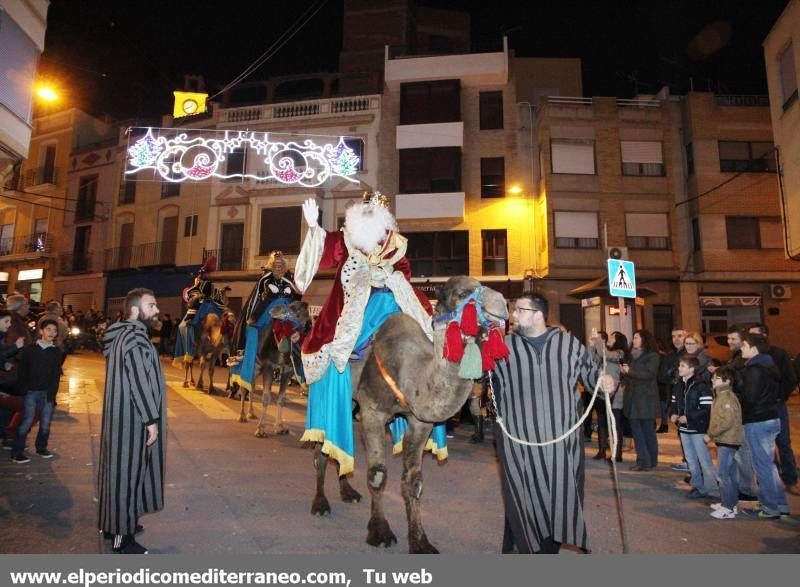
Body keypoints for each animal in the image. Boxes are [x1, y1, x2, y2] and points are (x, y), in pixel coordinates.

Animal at [236, 298, 308, 436]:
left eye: (308, 321)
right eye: (291, 318)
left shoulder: (287, 370)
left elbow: (281, 399)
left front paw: (280, 427)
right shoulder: (268, 365)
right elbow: (266, 398)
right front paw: (260, 429)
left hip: (258, 367)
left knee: (252, 386)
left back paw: (251, 413)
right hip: (250, 364)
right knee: (244, 385)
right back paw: (242, 416)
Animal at [310, 278, 510, 552]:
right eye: (462, 293)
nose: (502, 305)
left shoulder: (420, 422)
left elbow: (414, 481)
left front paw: (419, 541)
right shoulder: (373, 410)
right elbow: (378, 475)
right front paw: (380, 532)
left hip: (349, 402)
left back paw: (348, 493)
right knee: (321, 447)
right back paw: (320, 504)